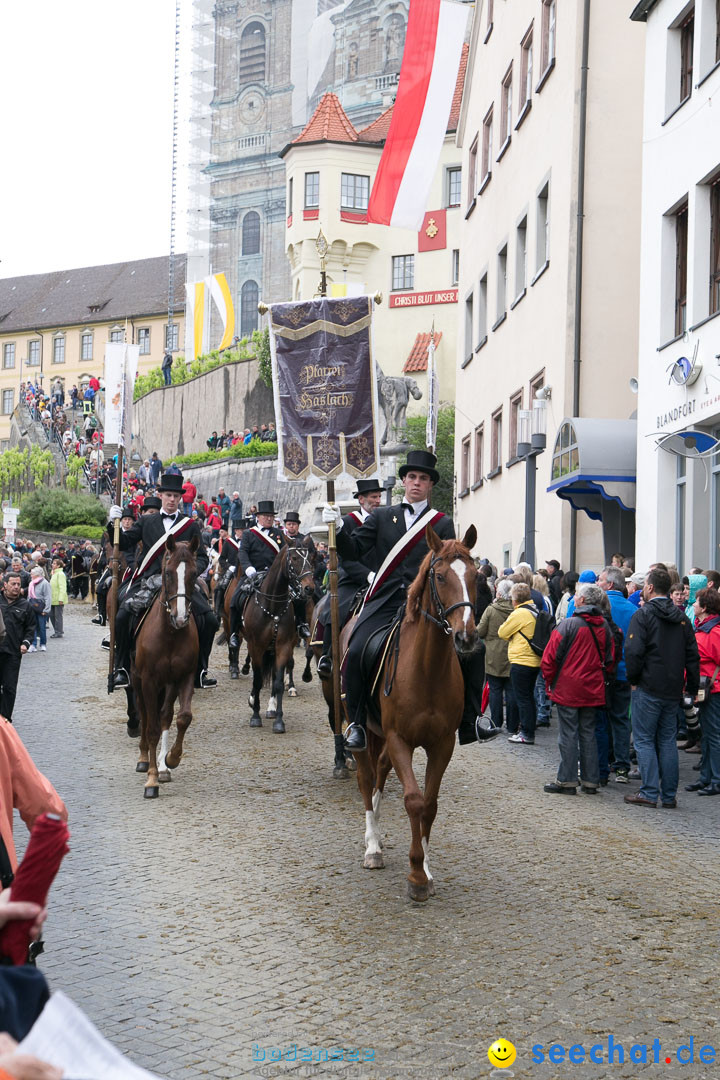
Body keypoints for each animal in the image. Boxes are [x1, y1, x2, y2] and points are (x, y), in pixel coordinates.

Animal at [131, 535, 199, 799]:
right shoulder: (148, 680)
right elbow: (150, 729)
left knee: (164, 716)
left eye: (194, 573)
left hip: (168, 684)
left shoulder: (185, 676)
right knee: (144, 715)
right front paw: (151, 781)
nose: (180, 618)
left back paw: (162, 766)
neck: (170, 633)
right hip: (137, 680)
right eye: (168, 573)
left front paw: (171, 759)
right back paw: (144, 760)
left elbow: (183, 717)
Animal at [241, 540, 315, 734]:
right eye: (294, 558)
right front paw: (255, 716)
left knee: (275, 675)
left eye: (311, 558)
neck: (272, 606)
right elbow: (258, 680)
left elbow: (279, 682)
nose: (309, 588)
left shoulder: (283, 646)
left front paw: (279, 720)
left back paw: (271, 707)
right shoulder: (256, 646)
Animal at [354, 522, 479, 902]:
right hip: (359, 726)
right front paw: (415, 875)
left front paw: (425, 868)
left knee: (379, 772)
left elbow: (430, 803)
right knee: (366, 778)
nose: (466, 638)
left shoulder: (442, 744)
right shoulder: (400, 740)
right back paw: (372, 846)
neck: (427, 669)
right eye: (439, 576)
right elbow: (413, 801)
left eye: (477, 576)